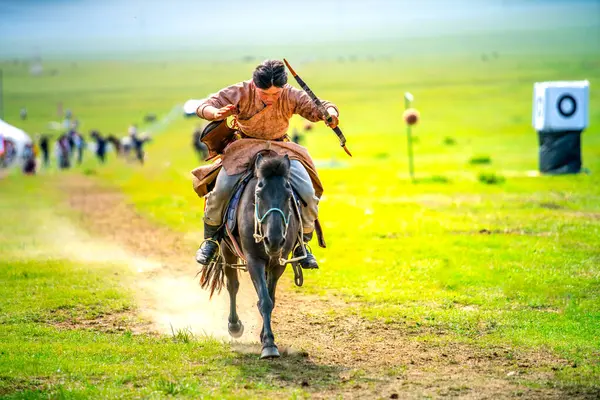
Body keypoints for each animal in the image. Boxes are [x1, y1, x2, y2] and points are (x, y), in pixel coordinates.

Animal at [200, 153, 302, 360]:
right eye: (258, 194)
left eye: (288, 195)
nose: (274, 240)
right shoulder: (254, 260)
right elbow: (264, 300)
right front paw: (269, 345)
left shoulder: (278, 264)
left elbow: (270, 299)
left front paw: (265, 338)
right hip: (227, 250)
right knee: (232, 285)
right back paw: (234, 325)